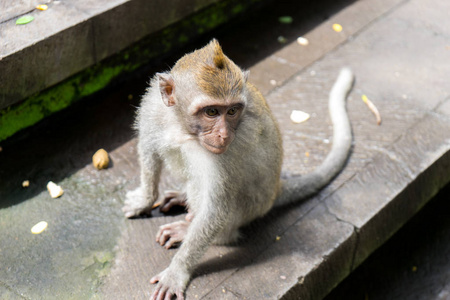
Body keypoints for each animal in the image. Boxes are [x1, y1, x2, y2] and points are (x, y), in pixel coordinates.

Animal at [122, 38, 356, 298]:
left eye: (232, 111)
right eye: (212, 111)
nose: (224, 135)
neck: (184, 128)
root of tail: (275, 190)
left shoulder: (226, 154)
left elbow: (216, 208)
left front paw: (177, 270)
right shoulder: (152, 107)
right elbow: (149, 149)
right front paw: (144, 200)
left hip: (249, 208)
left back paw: (194, 229)